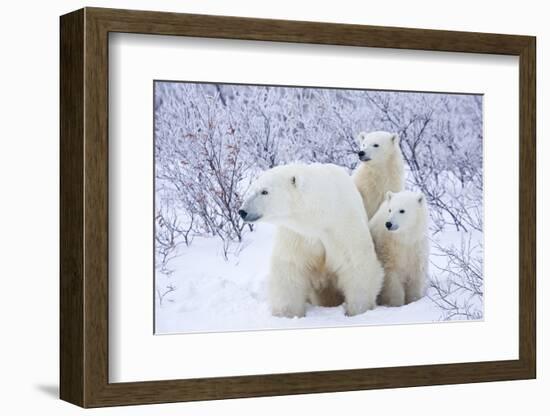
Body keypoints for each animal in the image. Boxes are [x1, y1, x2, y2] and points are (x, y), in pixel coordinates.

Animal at [242, 163, 384, 318]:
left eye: (264, 191)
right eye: (253, 188)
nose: (242, 211)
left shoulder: (341, 227)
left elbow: (356, 264)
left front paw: (358, 310)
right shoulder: (297, 235)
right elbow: (290, 268)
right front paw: (286, 314)